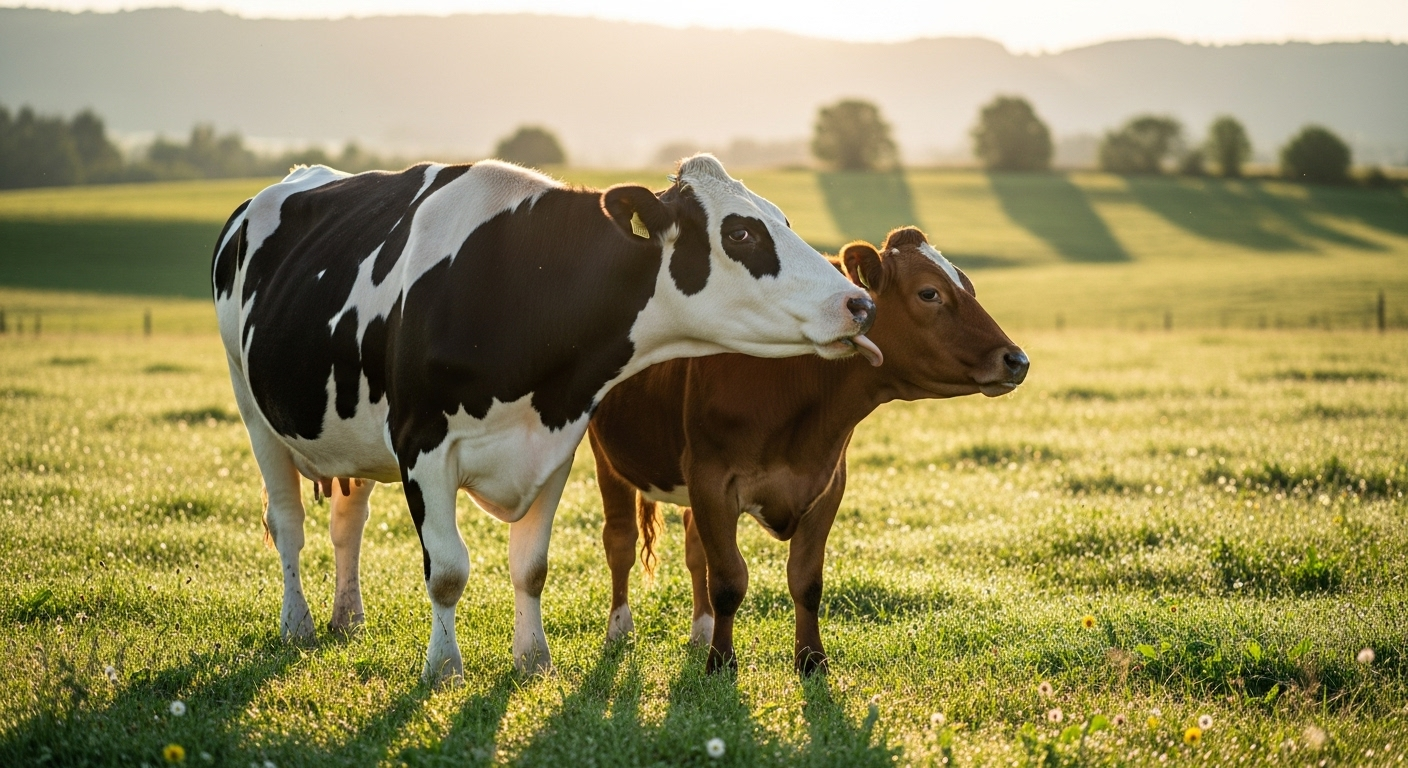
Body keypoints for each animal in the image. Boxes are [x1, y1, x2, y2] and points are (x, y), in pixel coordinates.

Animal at [210, 154, 880, 683]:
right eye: (740, 233)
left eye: (783, 221)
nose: (859, 302)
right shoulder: (420, 443)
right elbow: (447, 570)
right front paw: (443, 670)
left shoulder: (556, 440)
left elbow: (531, 566)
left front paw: (533, 661)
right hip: (251, 407)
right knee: (288, 522)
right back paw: (297, 624)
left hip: (346, 432)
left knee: (348, 521)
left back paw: (347, 617)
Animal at [587, 226, 1028, 674]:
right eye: (929, 293)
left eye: (969, 287)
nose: (1017, 360)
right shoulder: (712, 480)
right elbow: (728, 580)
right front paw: (721, 663)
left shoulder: (826, 483)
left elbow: (806, 580)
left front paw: (811, 659)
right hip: (606, 458)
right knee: (620, 542)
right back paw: (620, 630)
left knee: (695, 551)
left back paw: (701, 631)